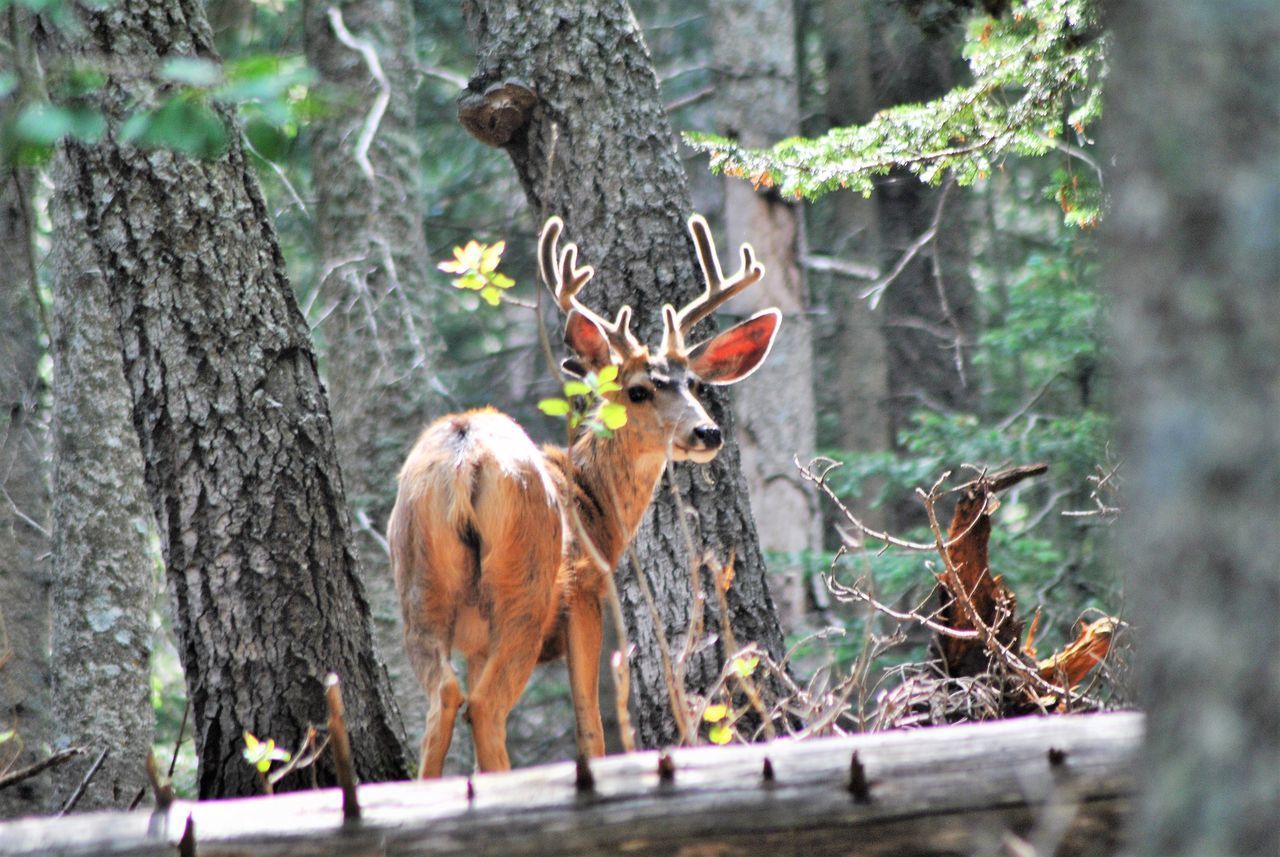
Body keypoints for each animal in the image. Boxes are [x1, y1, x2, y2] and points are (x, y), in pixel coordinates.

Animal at [384, 214, 773, 777]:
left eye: (695, 384)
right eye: (638, 390)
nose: (707, 433)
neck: (596, 505)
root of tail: (466, 452)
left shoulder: (476, 640)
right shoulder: (587, 592)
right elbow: (591, 727)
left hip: (419, 581)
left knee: (446, 698)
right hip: (526, 583)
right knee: (486, 706)